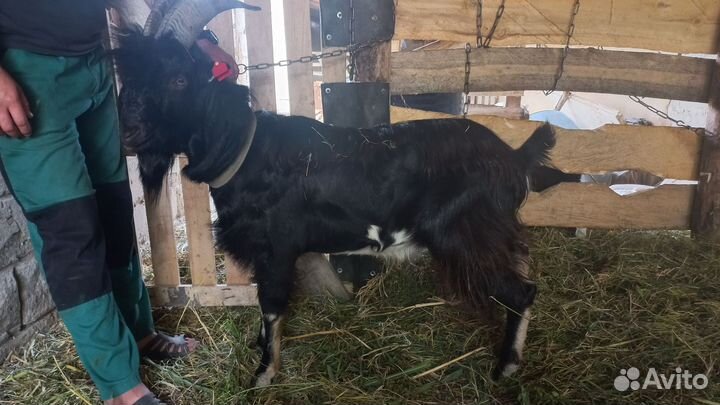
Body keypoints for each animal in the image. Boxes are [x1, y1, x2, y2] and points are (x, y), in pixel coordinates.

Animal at [112, 6, 555, 386]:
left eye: (179, 79)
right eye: (128, 77)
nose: (126, 132)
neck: (245, 151)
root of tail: (514, 158)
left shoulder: (278, 248)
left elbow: (271, 304)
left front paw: (264, 373)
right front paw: (259, 348)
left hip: (466, 236)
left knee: (522, 292)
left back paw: (506, 367)